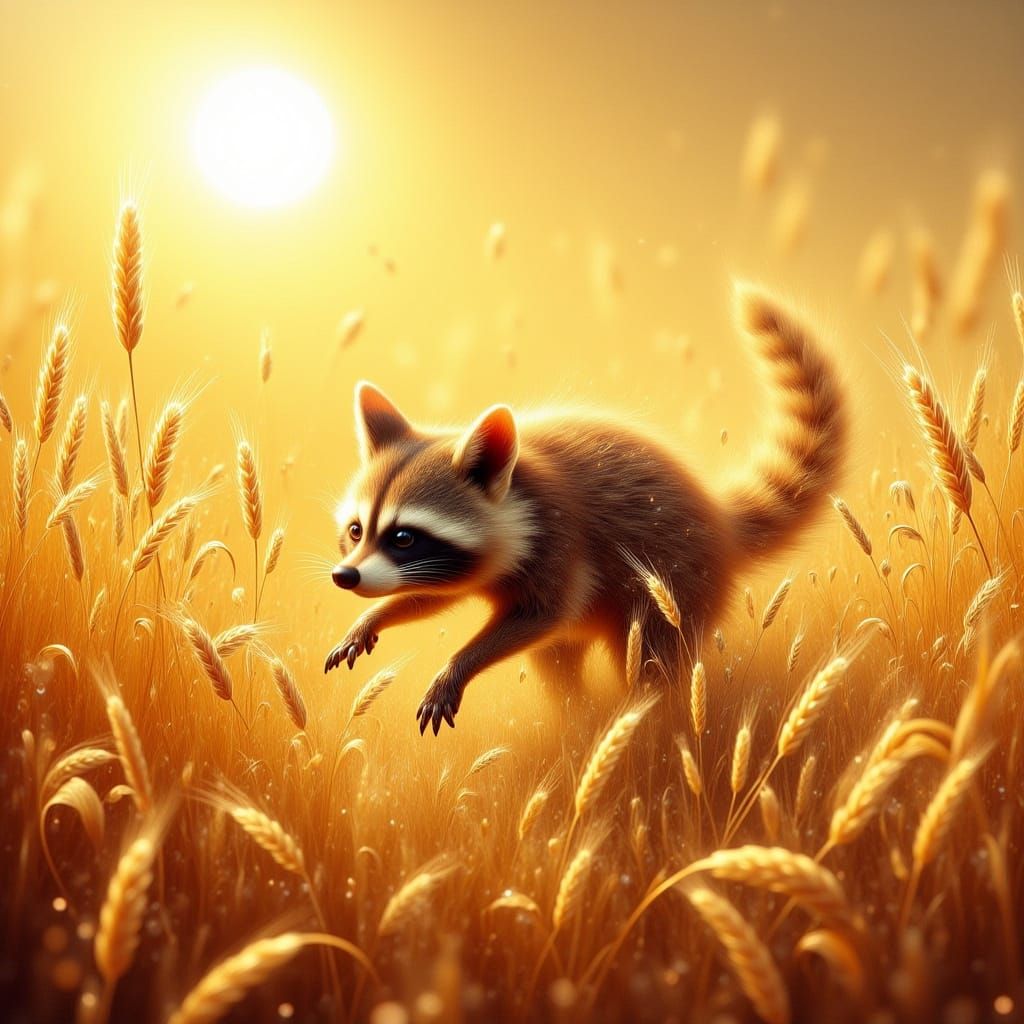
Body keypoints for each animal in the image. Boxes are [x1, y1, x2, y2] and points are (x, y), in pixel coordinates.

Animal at [325, 283, 846, 734]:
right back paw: (578, 716)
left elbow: (542, 614)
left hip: (678, 583)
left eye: (403, 536)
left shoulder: (558, 537)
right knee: (558, 663)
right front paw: (378, 616)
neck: (513, 493)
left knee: (653, 659)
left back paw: (645, 714)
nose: (345, 577)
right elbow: (436, 592)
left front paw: (457, 665)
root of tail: (716, 518)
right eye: (356, 531)